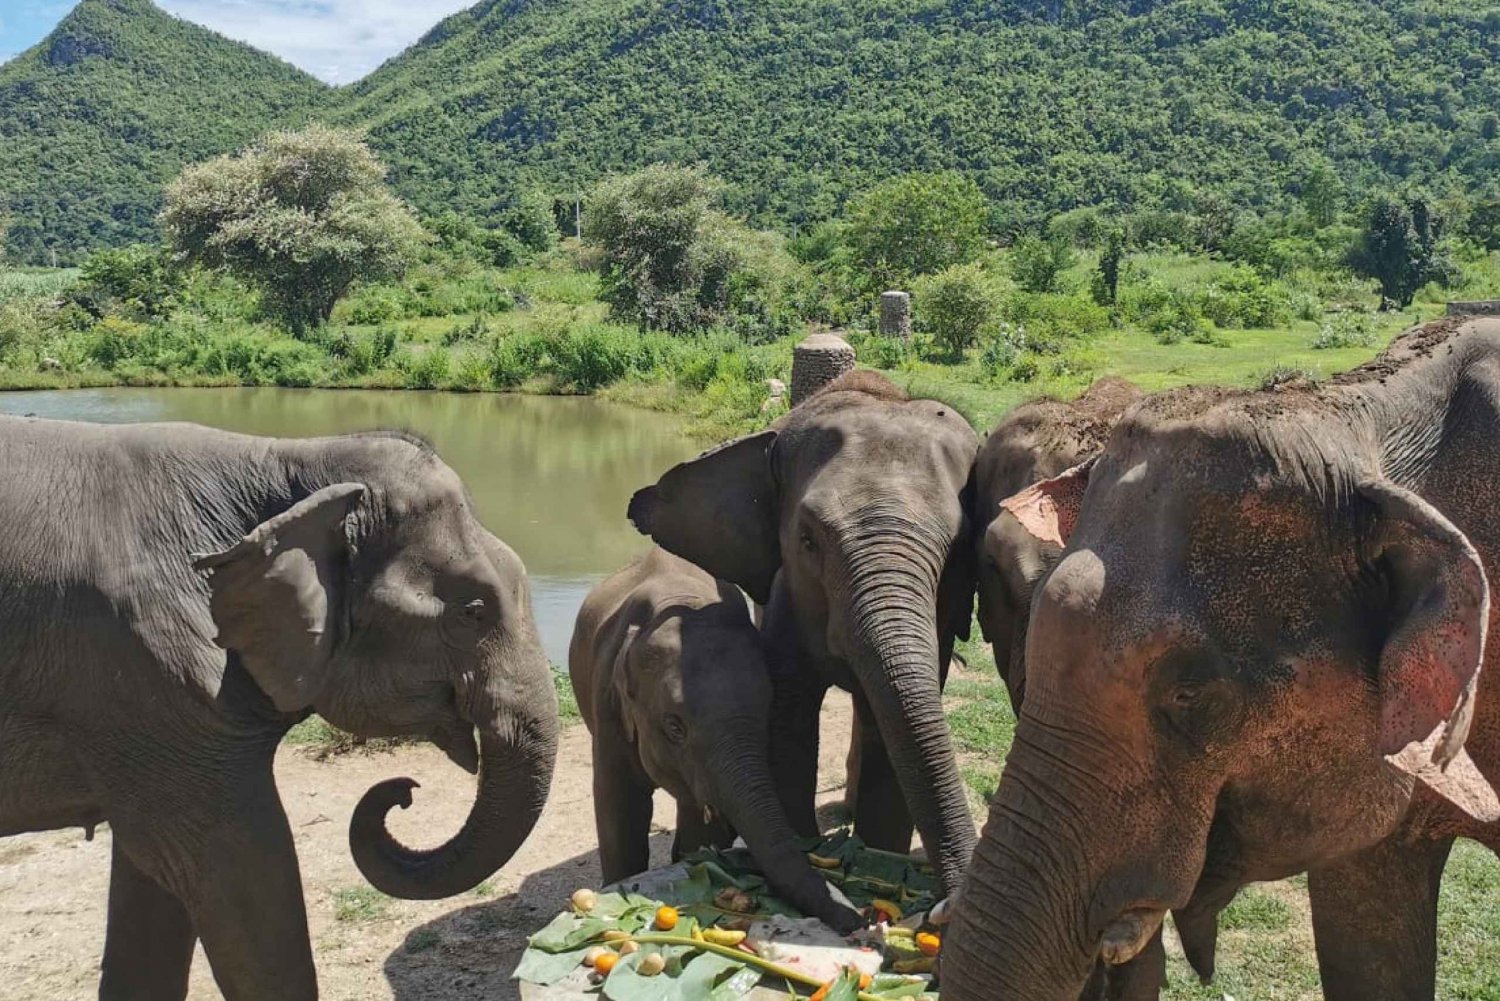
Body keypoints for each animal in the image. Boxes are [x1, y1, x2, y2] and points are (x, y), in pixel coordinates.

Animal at [0, 417, 561, 1001]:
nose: (404, 791)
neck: (287, 460)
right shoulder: (146, 674)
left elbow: (155, 882)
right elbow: (240, 868)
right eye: (472, 612)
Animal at [564, 549, 870, 930]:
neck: (680, 602)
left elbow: (698, 819)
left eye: (768, 710)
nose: (860, 920)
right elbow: (620, 804)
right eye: (674, 727)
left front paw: (698, 857)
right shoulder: (607, 704)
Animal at [624, 370, 984, 900]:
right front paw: (811, 849)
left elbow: (893, 725)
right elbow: (790, 716)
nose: (950, 897)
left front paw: (878, 858)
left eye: (958, 546)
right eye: (807, 540)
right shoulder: (783, 598)